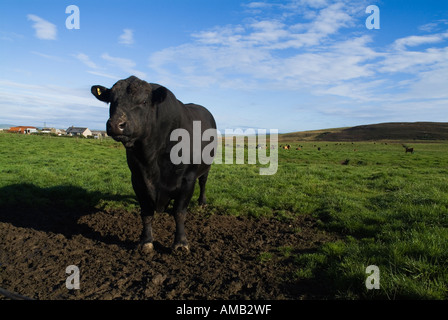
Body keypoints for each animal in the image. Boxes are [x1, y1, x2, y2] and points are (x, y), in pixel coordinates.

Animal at [91, 76, 217, 254]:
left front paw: (180, 243)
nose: (116, 124)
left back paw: (202, 203)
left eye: (144, 101)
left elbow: (179, 212)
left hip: (206, 166)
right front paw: (146, 241)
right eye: (110, 100)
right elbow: (146, 213)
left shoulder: (188, 180)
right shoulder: (138, 179)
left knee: (203, 182)